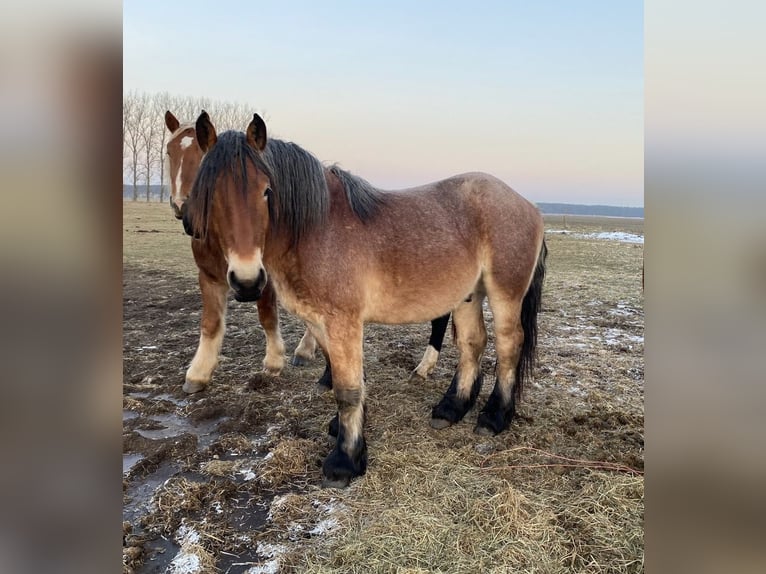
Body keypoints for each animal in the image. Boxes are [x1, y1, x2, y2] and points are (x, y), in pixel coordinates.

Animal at [164, 110, 452, 391]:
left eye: (267, 191)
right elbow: (211, 323)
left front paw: (275, 363)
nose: (185, 213)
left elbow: (268, 316)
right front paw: (198, 374)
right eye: (169, 152)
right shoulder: (210, 276)